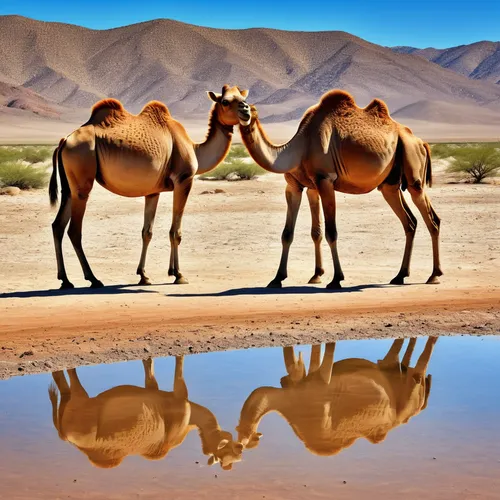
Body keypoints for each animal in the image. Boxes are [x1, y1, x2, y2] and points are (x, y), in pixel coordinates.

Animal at [47, 356, 243, 468]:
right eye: (229, 453)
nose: (241, 448)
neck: (189, 422)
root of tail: (66, 436)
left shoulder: (153, 389)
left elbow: (149, 366)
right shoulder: (180, 400)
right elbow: (179, 366)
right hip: (83, 418)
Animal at [48, 86, 252, 290]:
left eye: (242, 97)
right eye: (225, 101)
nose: (246, 110)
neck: (194, 149)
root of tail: (64, 141)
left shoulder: (153, 192)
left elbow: (147, 232)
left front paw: (145, 275)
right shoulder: (184, 180)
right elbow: (175, 232)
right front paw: (179, 275)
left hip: (69, 189)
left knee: (57, 225)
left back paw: (65, 280)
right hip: (82, 180)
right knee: (74, 230)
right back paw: (93, 279)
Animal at [236, 338, 436, 456]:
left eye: (252, 439)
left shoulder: (321, 386)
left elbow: (328, 351)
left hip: (413, 391)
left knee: (418, 370)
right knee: (394, 362)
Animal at [240, 89, 444, 290]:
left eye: (247, 106)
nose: (244, 111)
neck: (300, 147)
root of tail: (422, 143)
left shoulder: (325, 180)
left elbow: (331, 232)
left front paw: (336, 279)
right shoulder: (299, 187)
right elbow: (297, 233)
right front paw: (285, 278)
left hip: (413, 169)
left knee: (431, 218)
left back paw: (434, 275)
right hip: (390, 185)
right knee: (410, 222)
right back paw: (400, 276)